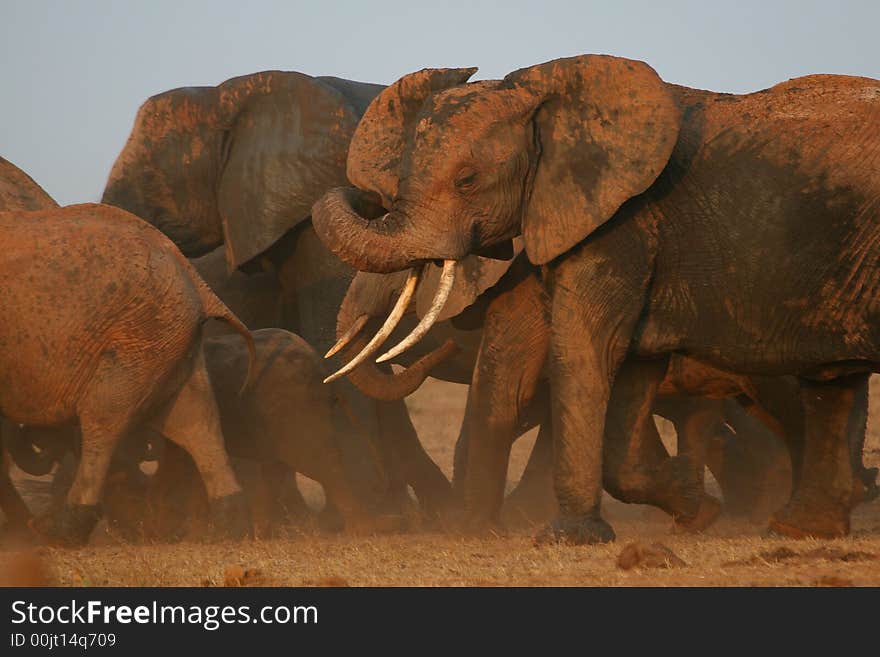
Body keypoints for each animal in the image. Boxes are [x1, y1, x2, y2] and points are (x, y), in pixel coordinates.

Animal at [0, 201, 254, 544]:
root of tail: (191, 273)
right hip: (168, 338)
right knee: (197, 421)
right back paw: (230, 529)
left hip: (139, 334)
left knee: (104, 420)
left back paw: (58, 532)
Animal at [312, 55, 880, 544]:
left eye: (467, 180)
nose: (363, 197)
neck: (543, 96)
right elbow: (578, 370)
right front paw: (695, 508)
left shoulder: (621, 225)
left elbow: (584, 353)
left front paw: (567, 537)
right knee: (830, 384)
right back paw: (804, 525)